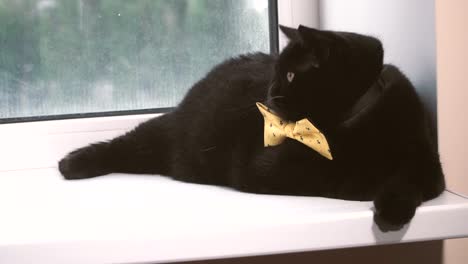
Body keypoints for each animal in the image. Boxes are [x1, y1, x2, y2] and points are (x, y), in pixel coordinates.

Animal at [59, 25, 446, 230]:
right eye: (278, 70)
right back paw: (72, 164)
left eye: (290, 75)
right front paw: (366, 188)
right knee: (125, 144)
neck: (352, 119)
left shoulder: (430, 169)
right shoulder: (266, 168)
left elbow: (407, 182)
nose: (270, 93)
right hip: (170, 135)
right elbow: (340, 179)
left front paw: (391, 210)